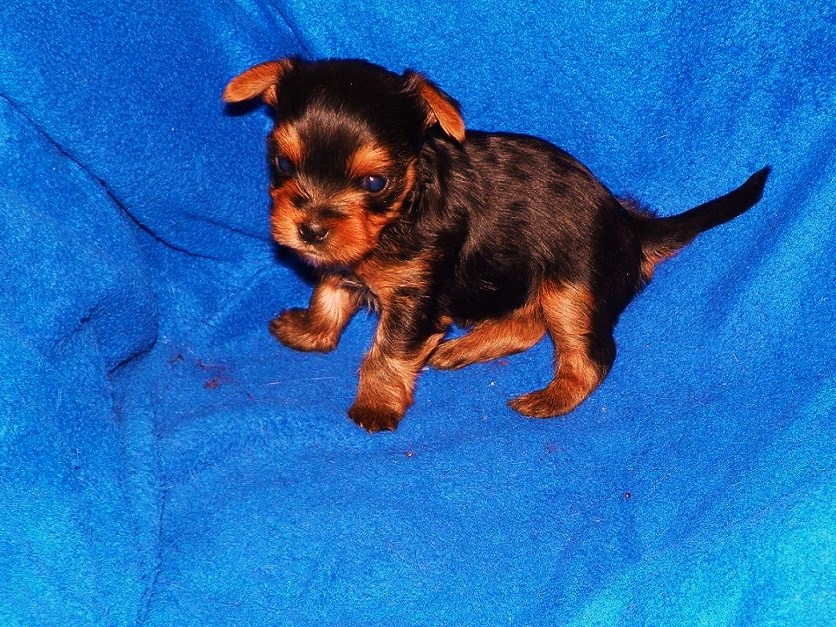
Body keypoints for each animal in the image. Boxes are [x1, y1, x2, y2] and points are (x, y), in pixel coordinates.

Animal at [223, 57, 770, 433]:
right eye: (283, 164)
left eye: (375, 182)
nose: (311, 228)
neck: (401, 212)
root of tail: (629, 226)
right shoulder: (342, 262)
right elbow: (329, 293)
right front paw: (309, 331)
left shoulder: (417, 297)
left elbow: (388, 350)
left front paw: (375, 405)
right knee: (530, 325)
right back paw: (462, 348)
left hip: (572, 287)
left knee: (590, 355)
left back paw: (550, 398)